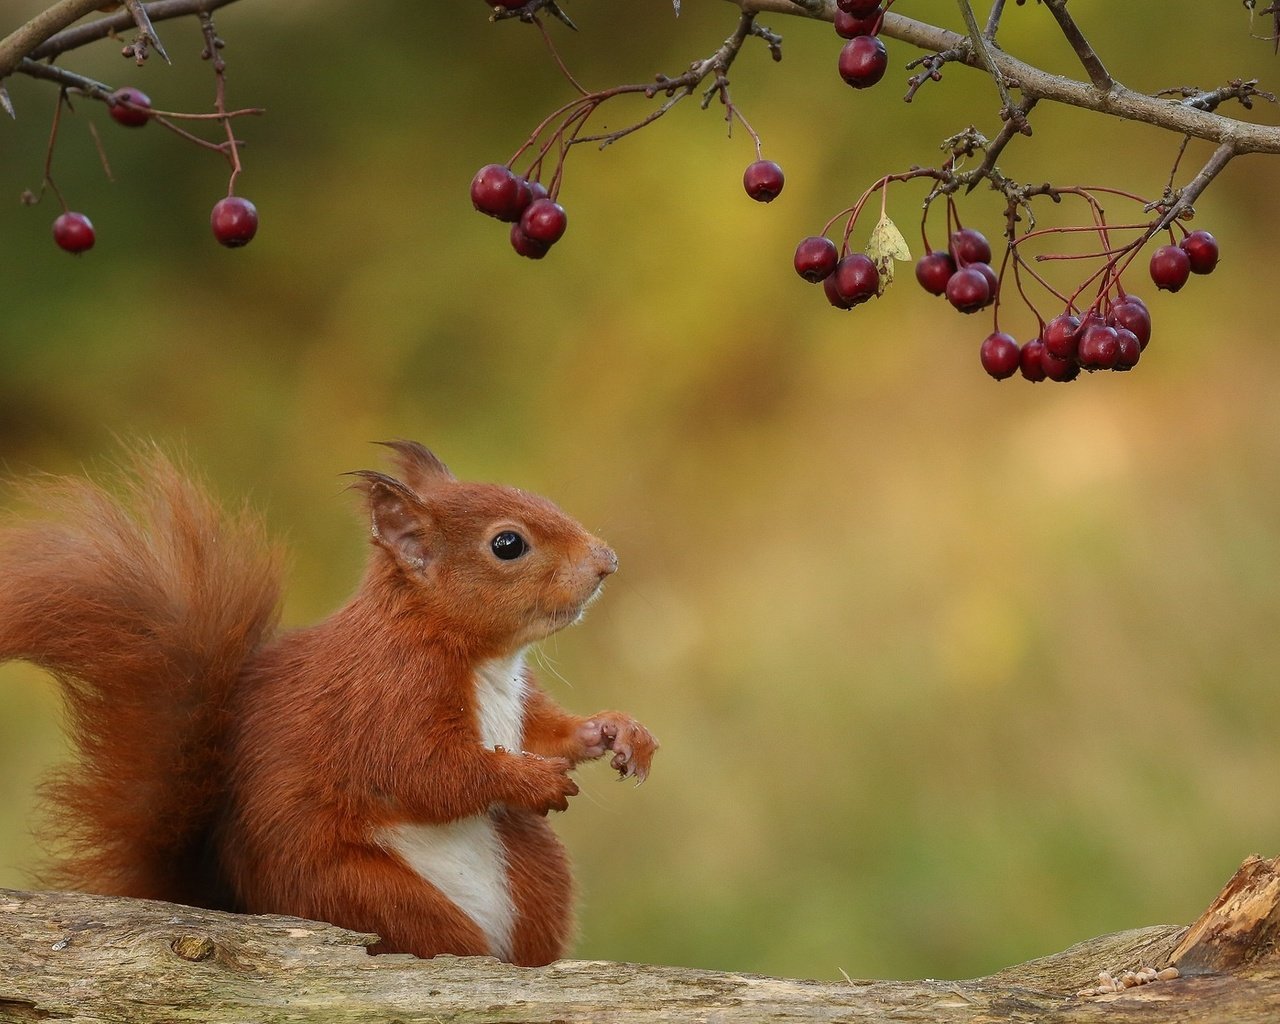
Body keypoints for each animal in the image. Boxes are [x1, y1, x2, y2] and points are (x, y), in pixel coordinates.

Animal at [0, 442, 655, 967]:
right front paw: (532, 781)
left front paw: (617, 732)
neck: (476, 657)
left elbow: (547, 734)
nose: (607, 562)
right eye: (508, 543)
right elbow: (426, 772)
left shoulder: (517, 704)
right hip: (359, 893)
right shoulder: (385, 698)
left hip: (531, 872)